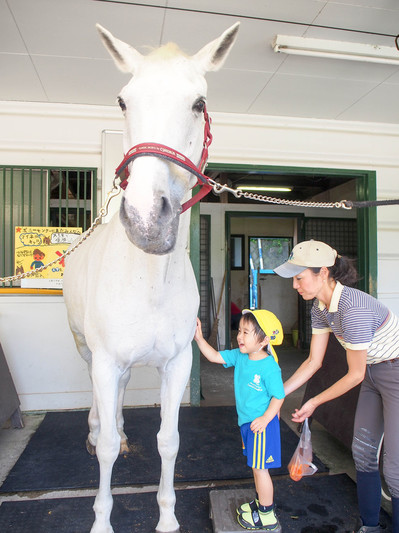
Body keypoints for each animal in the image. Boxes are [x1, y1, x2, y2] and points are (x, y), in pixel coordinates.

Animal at [62, 20, 238, 532]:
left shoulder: (177, 365)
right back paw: (100, 429)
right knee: (99, 403)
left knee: (120, 398)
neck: (149, 282)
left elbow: (168, 442)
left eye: (198, 103)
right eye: (123, 101)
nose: (145, 220)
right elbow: (104, 450)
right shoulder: (104, 359)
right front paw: (101, 521)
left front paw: (167, 519)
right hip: (86, 349)